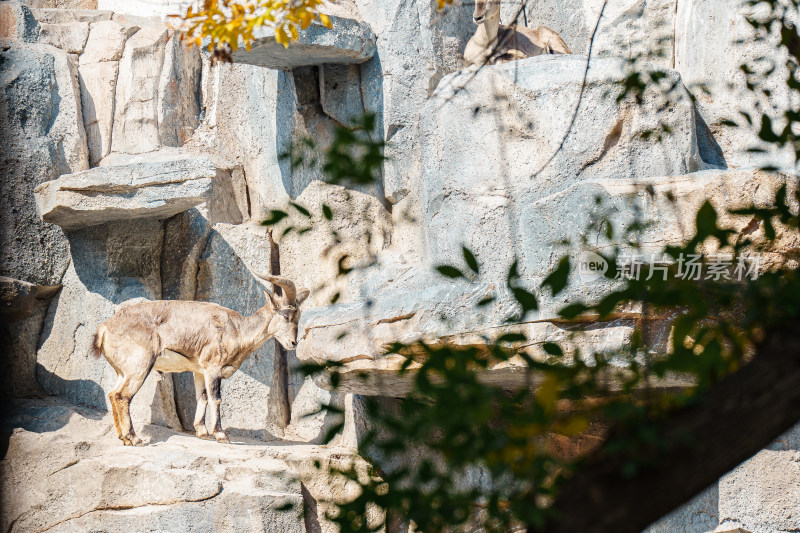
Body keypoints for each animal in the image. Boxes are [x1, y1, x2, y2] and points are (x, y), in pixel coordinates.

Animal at [92, 274, 308, 444]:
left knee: (112, 393)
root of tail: (104, 328)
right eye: (286, 316)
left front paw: (202, 432)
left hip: (123, 371)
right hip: (139, 367)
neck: (236, 329)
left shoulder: (199, 371)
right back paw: (134, 438)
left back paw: (123, 437)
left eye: (298, 316)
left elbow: (202, 397)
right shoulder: (213, 368)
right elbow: (216, 398)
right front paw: (221, 434)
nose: (293, 343)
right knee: (122, 396)